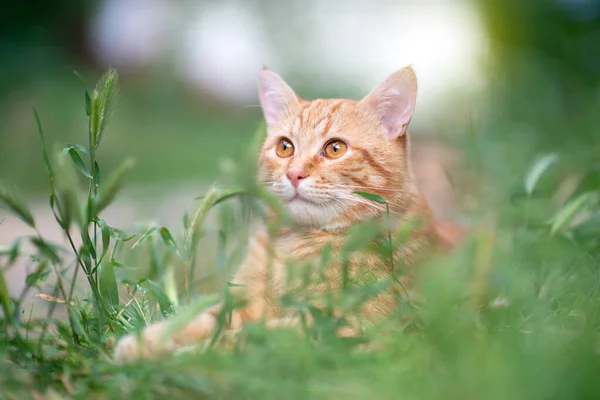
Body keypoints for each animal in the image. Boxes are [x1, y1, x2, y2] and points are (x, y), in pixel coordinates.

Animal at [113, 65, 440, 362]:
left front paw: (192, 355)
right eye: (285, 148)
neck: (295, 245)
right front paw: (146, 342)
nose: (294, 174)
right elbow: (198, 319)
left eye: (335, 149)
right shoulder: (239, 303)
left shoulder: (347, 324)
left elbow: (249, 339)